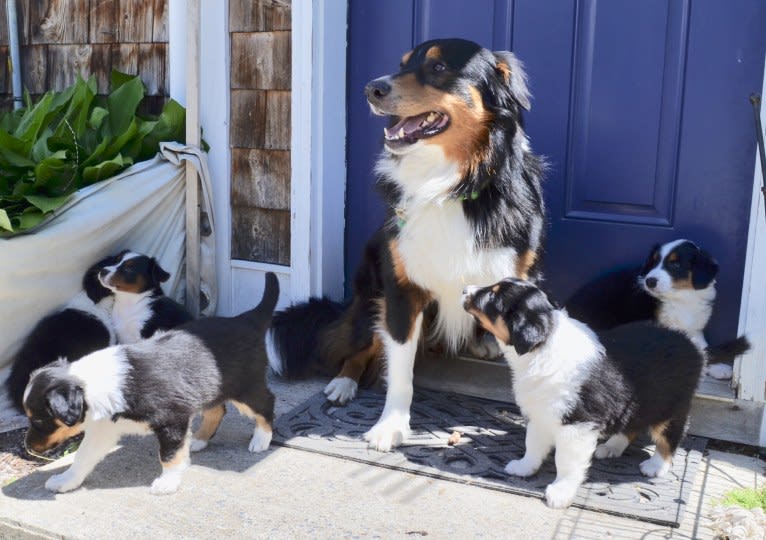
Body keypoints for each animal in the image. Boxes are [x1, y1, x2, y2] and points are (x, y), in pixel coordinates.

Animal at [23, 272, 282, 496]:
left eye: (38, 420)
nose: (28, 447)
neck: (96, 384)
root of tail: (246, 319)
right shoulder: (104, 429)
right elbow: (82, 457)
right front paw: (65, 481)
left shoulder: (172, 419)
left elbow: (168, 455)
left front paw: (167, 483)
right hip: (209, 386)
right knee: (217, 409)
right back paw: (199, 439)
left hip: (246, 386)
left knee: (266, 403)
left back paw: (261, 440)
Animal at [268, 39, 544, 452]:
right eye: (401, 65)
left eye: (439, 67)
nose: (371, 89)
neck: (451, 184)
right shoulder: (400, 289)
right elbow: (399, 370)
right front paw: (391, 427)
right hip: (370, 290)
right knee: (357, 346)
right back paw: (343, 383)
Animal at [462, 278, 708, 510]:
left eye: (493, 297)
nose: (464, 290)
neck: (541, 348)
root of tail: (685, 340)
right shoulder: (541, 414)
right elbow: (532, 443)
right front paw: (524, 467)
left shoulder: (577, 425)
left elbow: (566, 462)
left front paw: (560, 492)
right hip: (637, 402)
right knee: (632, 425)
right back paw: (611, 447)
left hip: (671, 406)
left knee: (669, 436)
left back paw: (656, 466)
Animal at [568, 238, 748, 382]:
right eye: (653, 263)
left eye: (675, 264)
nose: (650, 281)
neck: (680, 297)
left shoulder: (693, 327)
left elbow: (704, 347)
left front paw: (718, 367)